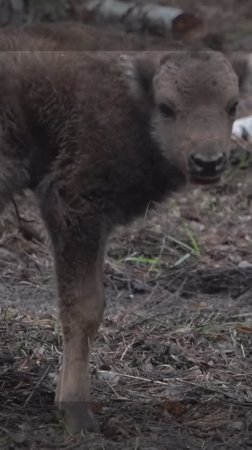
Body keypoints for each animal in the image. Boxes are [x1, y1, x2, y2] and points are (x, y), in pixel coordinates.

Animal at [0, 37, 248, 432]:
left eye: (232, 105)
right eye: (167, 107)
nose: (207, 163)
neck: (134, 101)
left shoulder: (96, 222)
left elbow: (96, 305)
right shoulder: (73, 204)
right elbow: (82, 308)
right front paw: (77, 415)